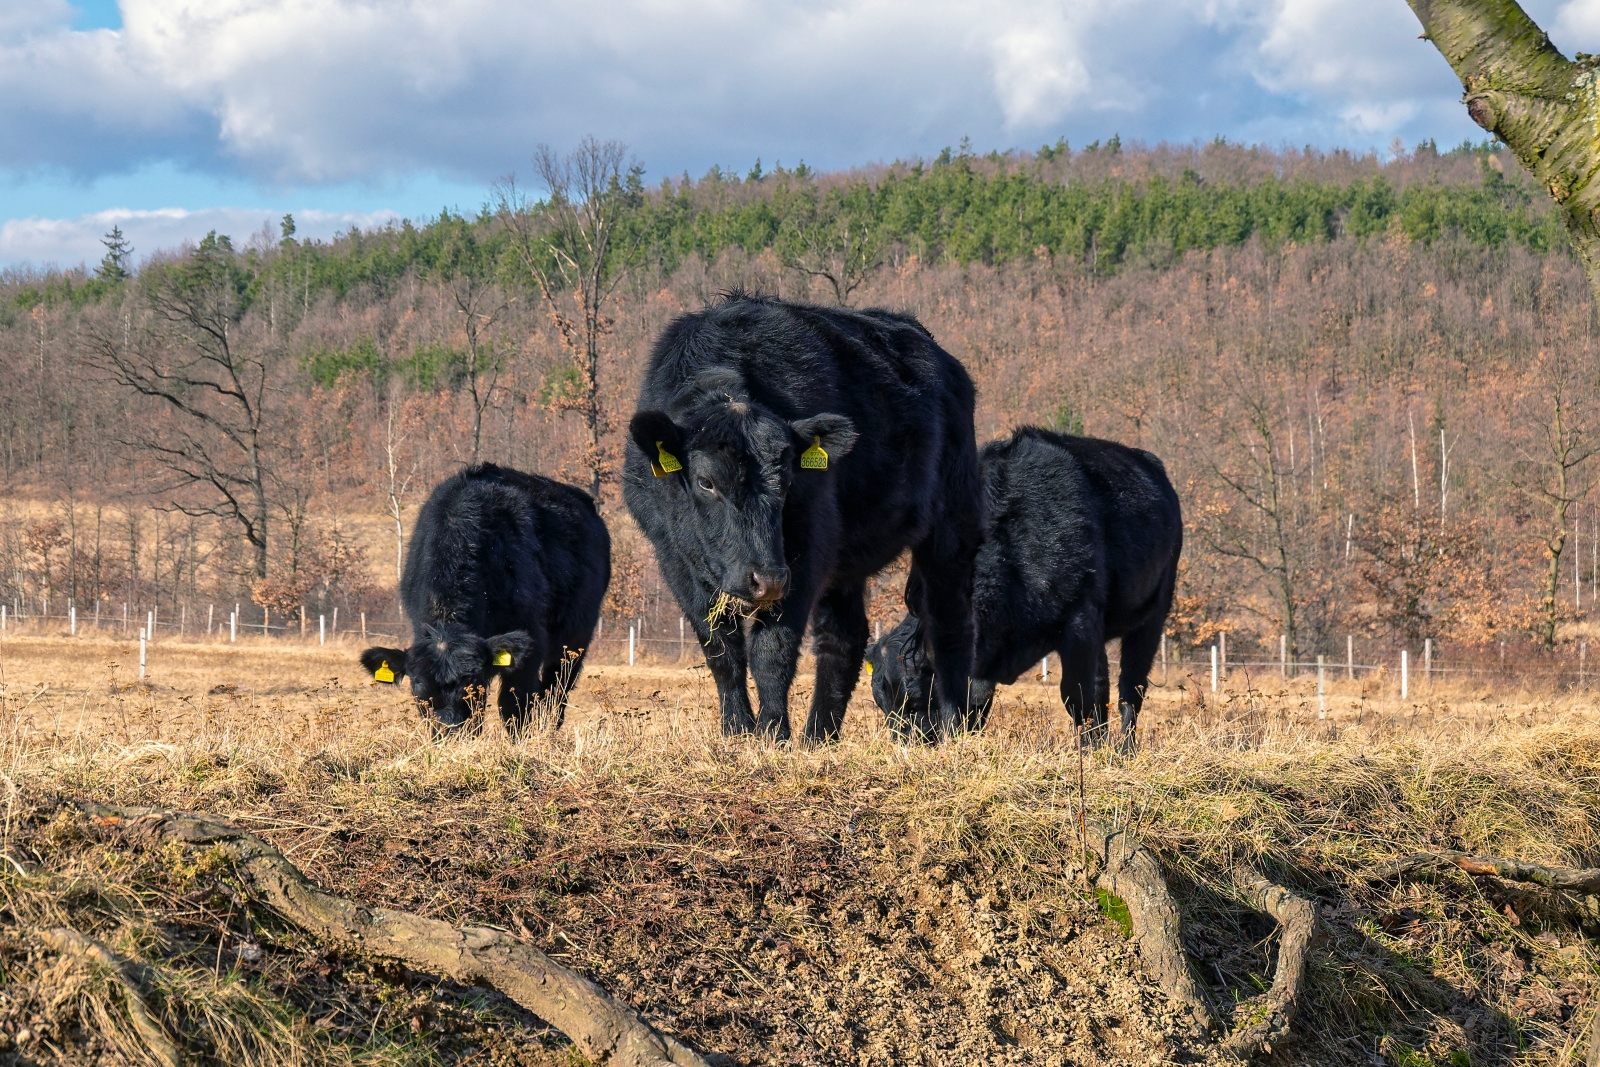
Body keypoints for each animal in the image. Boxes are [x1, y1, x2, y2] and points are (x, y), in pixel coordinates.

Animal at [359, 463, 610, 733]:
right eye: (420, 692)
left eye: (473, 687)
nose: (451, 732)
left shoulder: (532, 641)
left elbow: (515, 707)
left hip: (575, 639)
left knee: (556, 691)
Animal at [623, 292, 984, 742]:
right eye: (706, 482)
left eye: (789, 478)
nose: (765, 579)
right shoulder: (673, 558)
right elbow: (720, 649)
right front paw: (736, 730)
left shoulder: (805, 550)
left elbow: (772, 649)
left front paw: (772, 734)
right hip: (848, 564)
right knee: (843, 637)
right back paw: (819, 736)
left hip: (953, 526)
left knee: (950, 624)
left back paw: (955, 726)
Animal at [867, 428, 1182, 747]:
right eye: (882, 703)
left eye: (914, 699)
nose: (905, 743)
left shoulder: (1080, 621)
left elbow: (1077, 696)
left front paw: (1087, 750)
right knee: (1104, 685)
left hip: (1153, 612)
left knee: (1131, 689)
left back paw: (1124, 749)